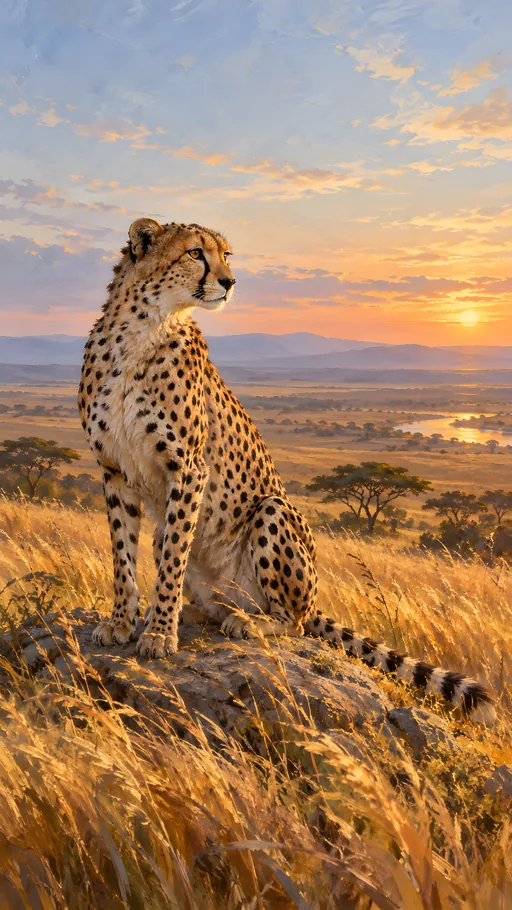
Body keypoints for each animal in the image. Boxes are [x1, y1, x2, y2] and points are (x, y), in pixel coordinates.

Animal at [79, 217, 495, 724]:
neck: (141, 329)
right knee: (185, 568)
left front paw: (158, 632)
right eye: (195, 253)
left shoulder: (189, 469)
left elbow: (174, 558)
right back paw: (198, 612)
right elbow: (123, 555)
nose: (230, 282)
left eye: (225, 255)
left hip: (273, 511)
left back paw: (246, 621)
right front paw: (122, 622)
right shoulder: (114, 470)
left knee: (293, 622)